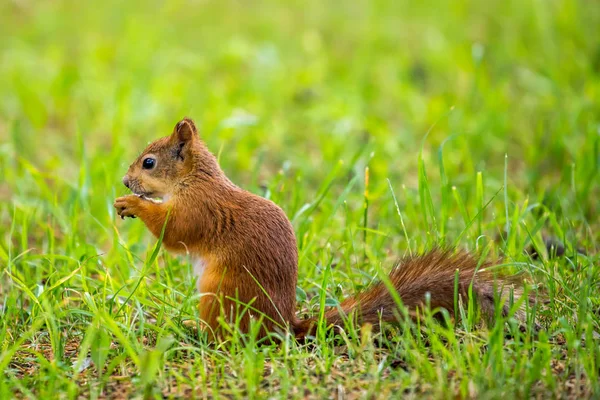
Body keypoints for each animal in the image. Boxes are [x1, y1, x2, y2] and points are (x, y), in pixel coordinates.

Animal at [112, 118, 524, 340]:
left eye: (149, 162)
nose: (125, 181)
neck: (195, 179)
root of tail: (283, 325)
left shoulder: (200, 209)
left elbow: (174, 231)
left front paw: (132, 204)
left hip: (221, 293)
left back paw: (197, 332)